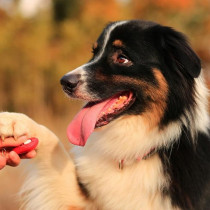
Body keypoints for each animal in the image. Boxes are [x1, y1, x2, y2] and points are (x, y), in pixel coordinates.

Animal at [0, 20, 210, 210]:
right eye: (94, 52)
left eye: (122, 58)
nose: (65, 82)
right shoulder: (85, 201)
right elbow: (54, 145)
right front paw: (12, 121)